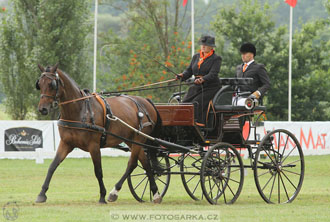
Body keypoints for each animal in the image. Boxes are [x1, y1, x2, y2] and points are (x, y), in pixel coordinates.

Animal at [35, 63, 163, 204]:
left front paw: (102, 195)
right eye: (39, 84)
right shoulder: (66, 143)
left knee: (132, 164)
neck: (80, 110)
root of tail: (146, 101)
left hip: (139, 139)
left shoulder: (94, 145)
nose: (42, 109)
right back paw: (155, 194)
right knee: (146, 164)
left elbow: (98, 171)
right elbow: (53, 166)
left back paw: (114, 192)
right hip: (131, 140)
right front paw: (41, 194)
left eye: (52, 84)